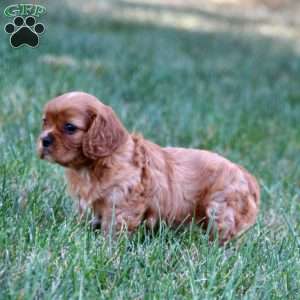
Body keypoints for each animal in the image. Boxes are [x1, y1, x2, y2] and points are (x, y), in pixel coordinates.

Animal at [37, 91, 258, 244]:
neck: (94, 166)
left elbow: (115, 226)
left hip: (221, 208)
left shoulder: (123, 202)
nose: (44, 140)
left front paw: (106, 247)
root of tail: (244, 173)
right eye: (45, 122)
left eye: (70, 127)